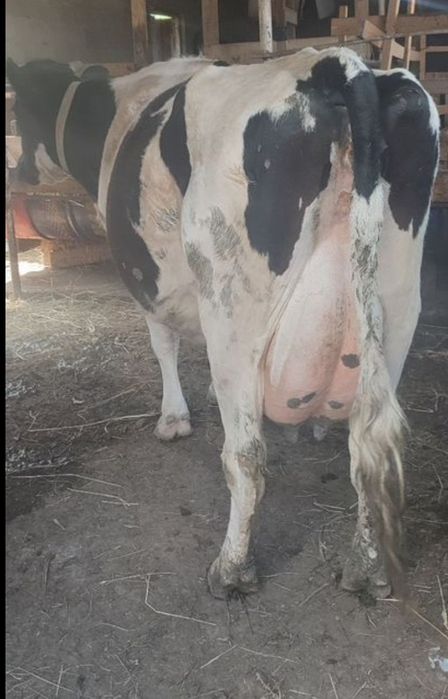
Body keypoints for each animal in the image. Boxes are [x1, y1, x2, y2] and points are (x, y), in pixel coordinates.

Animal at [6, 48, 440, 600]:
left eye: (19, 112)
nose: (17, 170)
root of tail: (334, 61)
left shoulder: (148, 276)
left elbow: (162, 343)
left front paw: (173, 419)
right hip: (398, 307)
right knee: (370, 448)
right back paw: (367, 567)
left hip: (234, 306)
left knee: (247, 457)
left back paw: (232, 568)